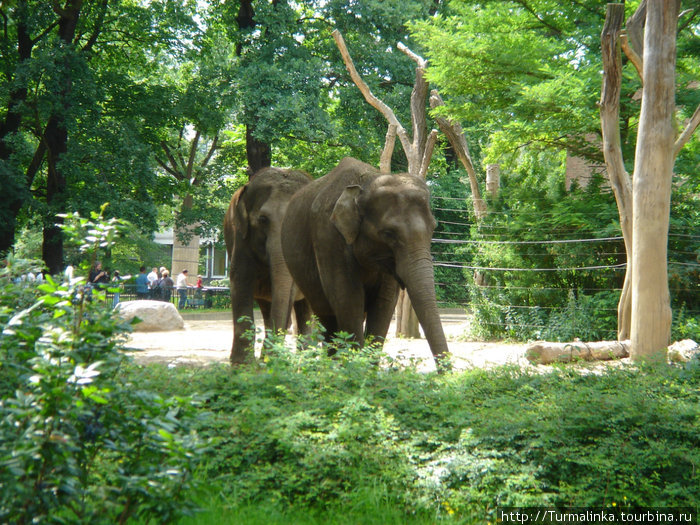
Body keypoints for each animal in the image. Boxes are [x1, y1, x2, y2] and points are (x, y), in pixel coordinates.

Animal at [224, 166, 312, 362]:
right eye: (263, 219)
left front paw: (271, 361)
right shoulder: (241, 238)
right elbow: (240, 282)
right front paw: (243, 365)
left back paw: (307, 358)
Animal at [282, 158, 452, 366]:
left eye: (433, 228)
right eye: (388, 234)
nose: (446, 372)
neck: (368, 183)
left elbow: (384, 303)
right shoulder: (328, 238)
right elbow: (348, 299)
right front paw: (357, 367)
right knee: (327, 317)